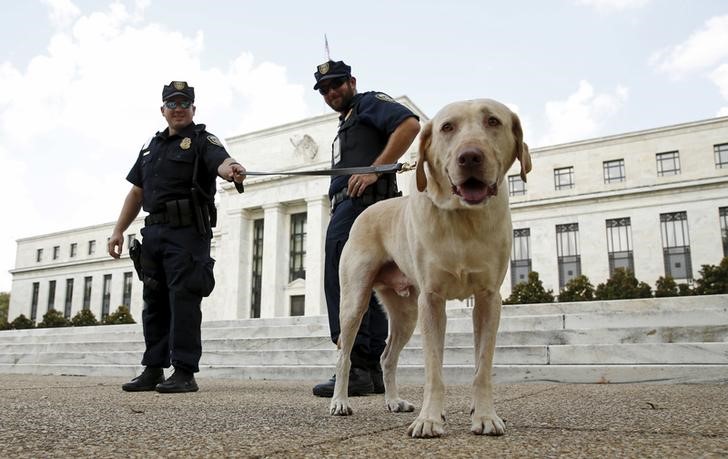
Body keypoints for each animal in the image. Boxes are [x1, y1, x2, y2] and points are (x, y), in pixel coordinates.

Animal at [328, 98, 528, 438]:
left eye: (493, 121)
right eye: (447, 127)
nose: (470, 156)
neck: (462, 218)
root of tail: (368, 210)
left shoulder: (488, 299)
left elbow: (482, 366)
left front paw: (484, 415)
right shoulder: (432, 300)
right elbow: (434, 369)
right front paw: (430, 419)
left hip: (406, 312)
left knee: (387, 357)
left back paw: (393, 400)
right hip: (355, 302)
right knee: (344, 354)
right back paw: (340, 401)